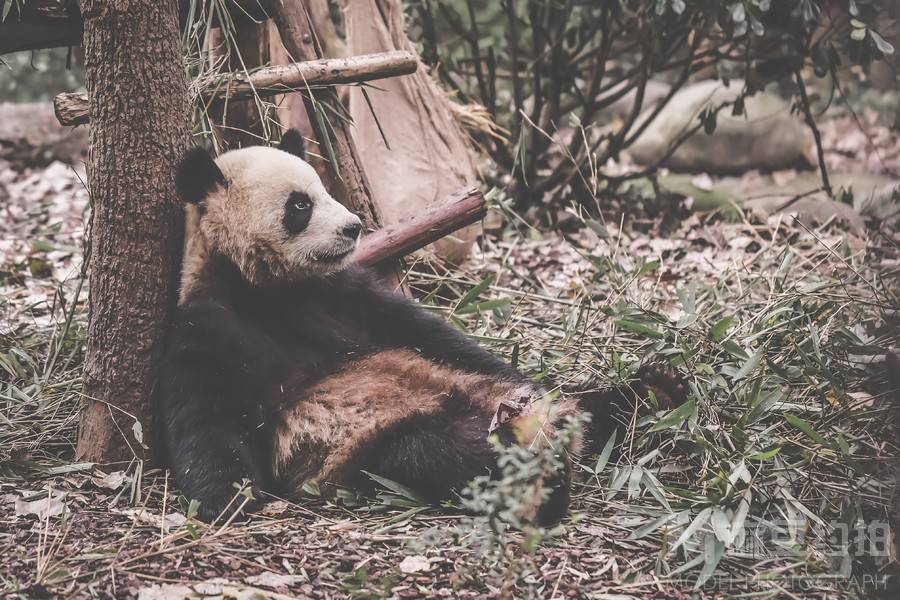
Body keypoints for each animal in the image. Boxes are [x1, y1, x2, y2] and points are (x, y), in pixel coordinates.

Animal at [158, 129, 684, 524]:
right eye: (300, 205)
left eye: (324, 190)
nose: (352, 228)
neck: (268, 287)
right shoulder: (208, 321)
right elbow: (204, 416)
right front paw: (231, 497)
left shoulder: (344, 291)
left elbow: (422, 329)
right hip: (381, 438)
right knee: (446, 455)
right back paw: (544, 480)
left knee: (587, 406)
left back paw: (656, 392)